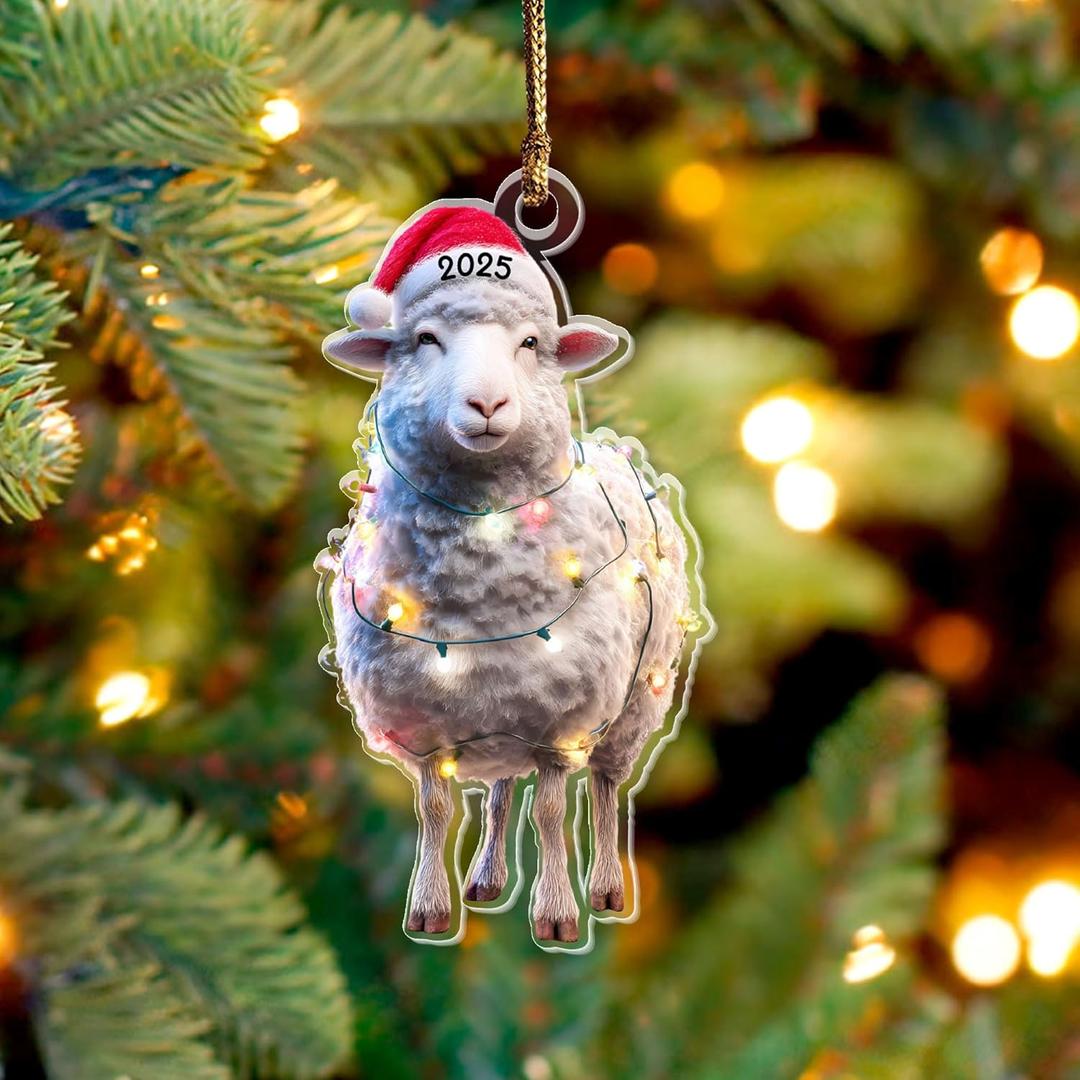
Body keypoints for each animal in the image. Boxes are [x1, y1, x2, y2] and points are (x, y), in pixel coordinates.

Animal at [317, 207, 705, 948]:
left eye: (530, 343)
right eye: (424, 340)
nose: (488, 404)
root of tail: (611, 448)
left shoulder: (560, 725)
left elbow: (552, 814)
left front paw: (556, 915)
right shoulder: (425, 728)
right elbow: (436, 812)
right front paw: (429, 910)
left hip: (633, 702)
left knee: (605, 792)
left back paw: (605, 889)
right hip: (499, 714)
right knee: (499, 796)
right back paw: (486, 881)